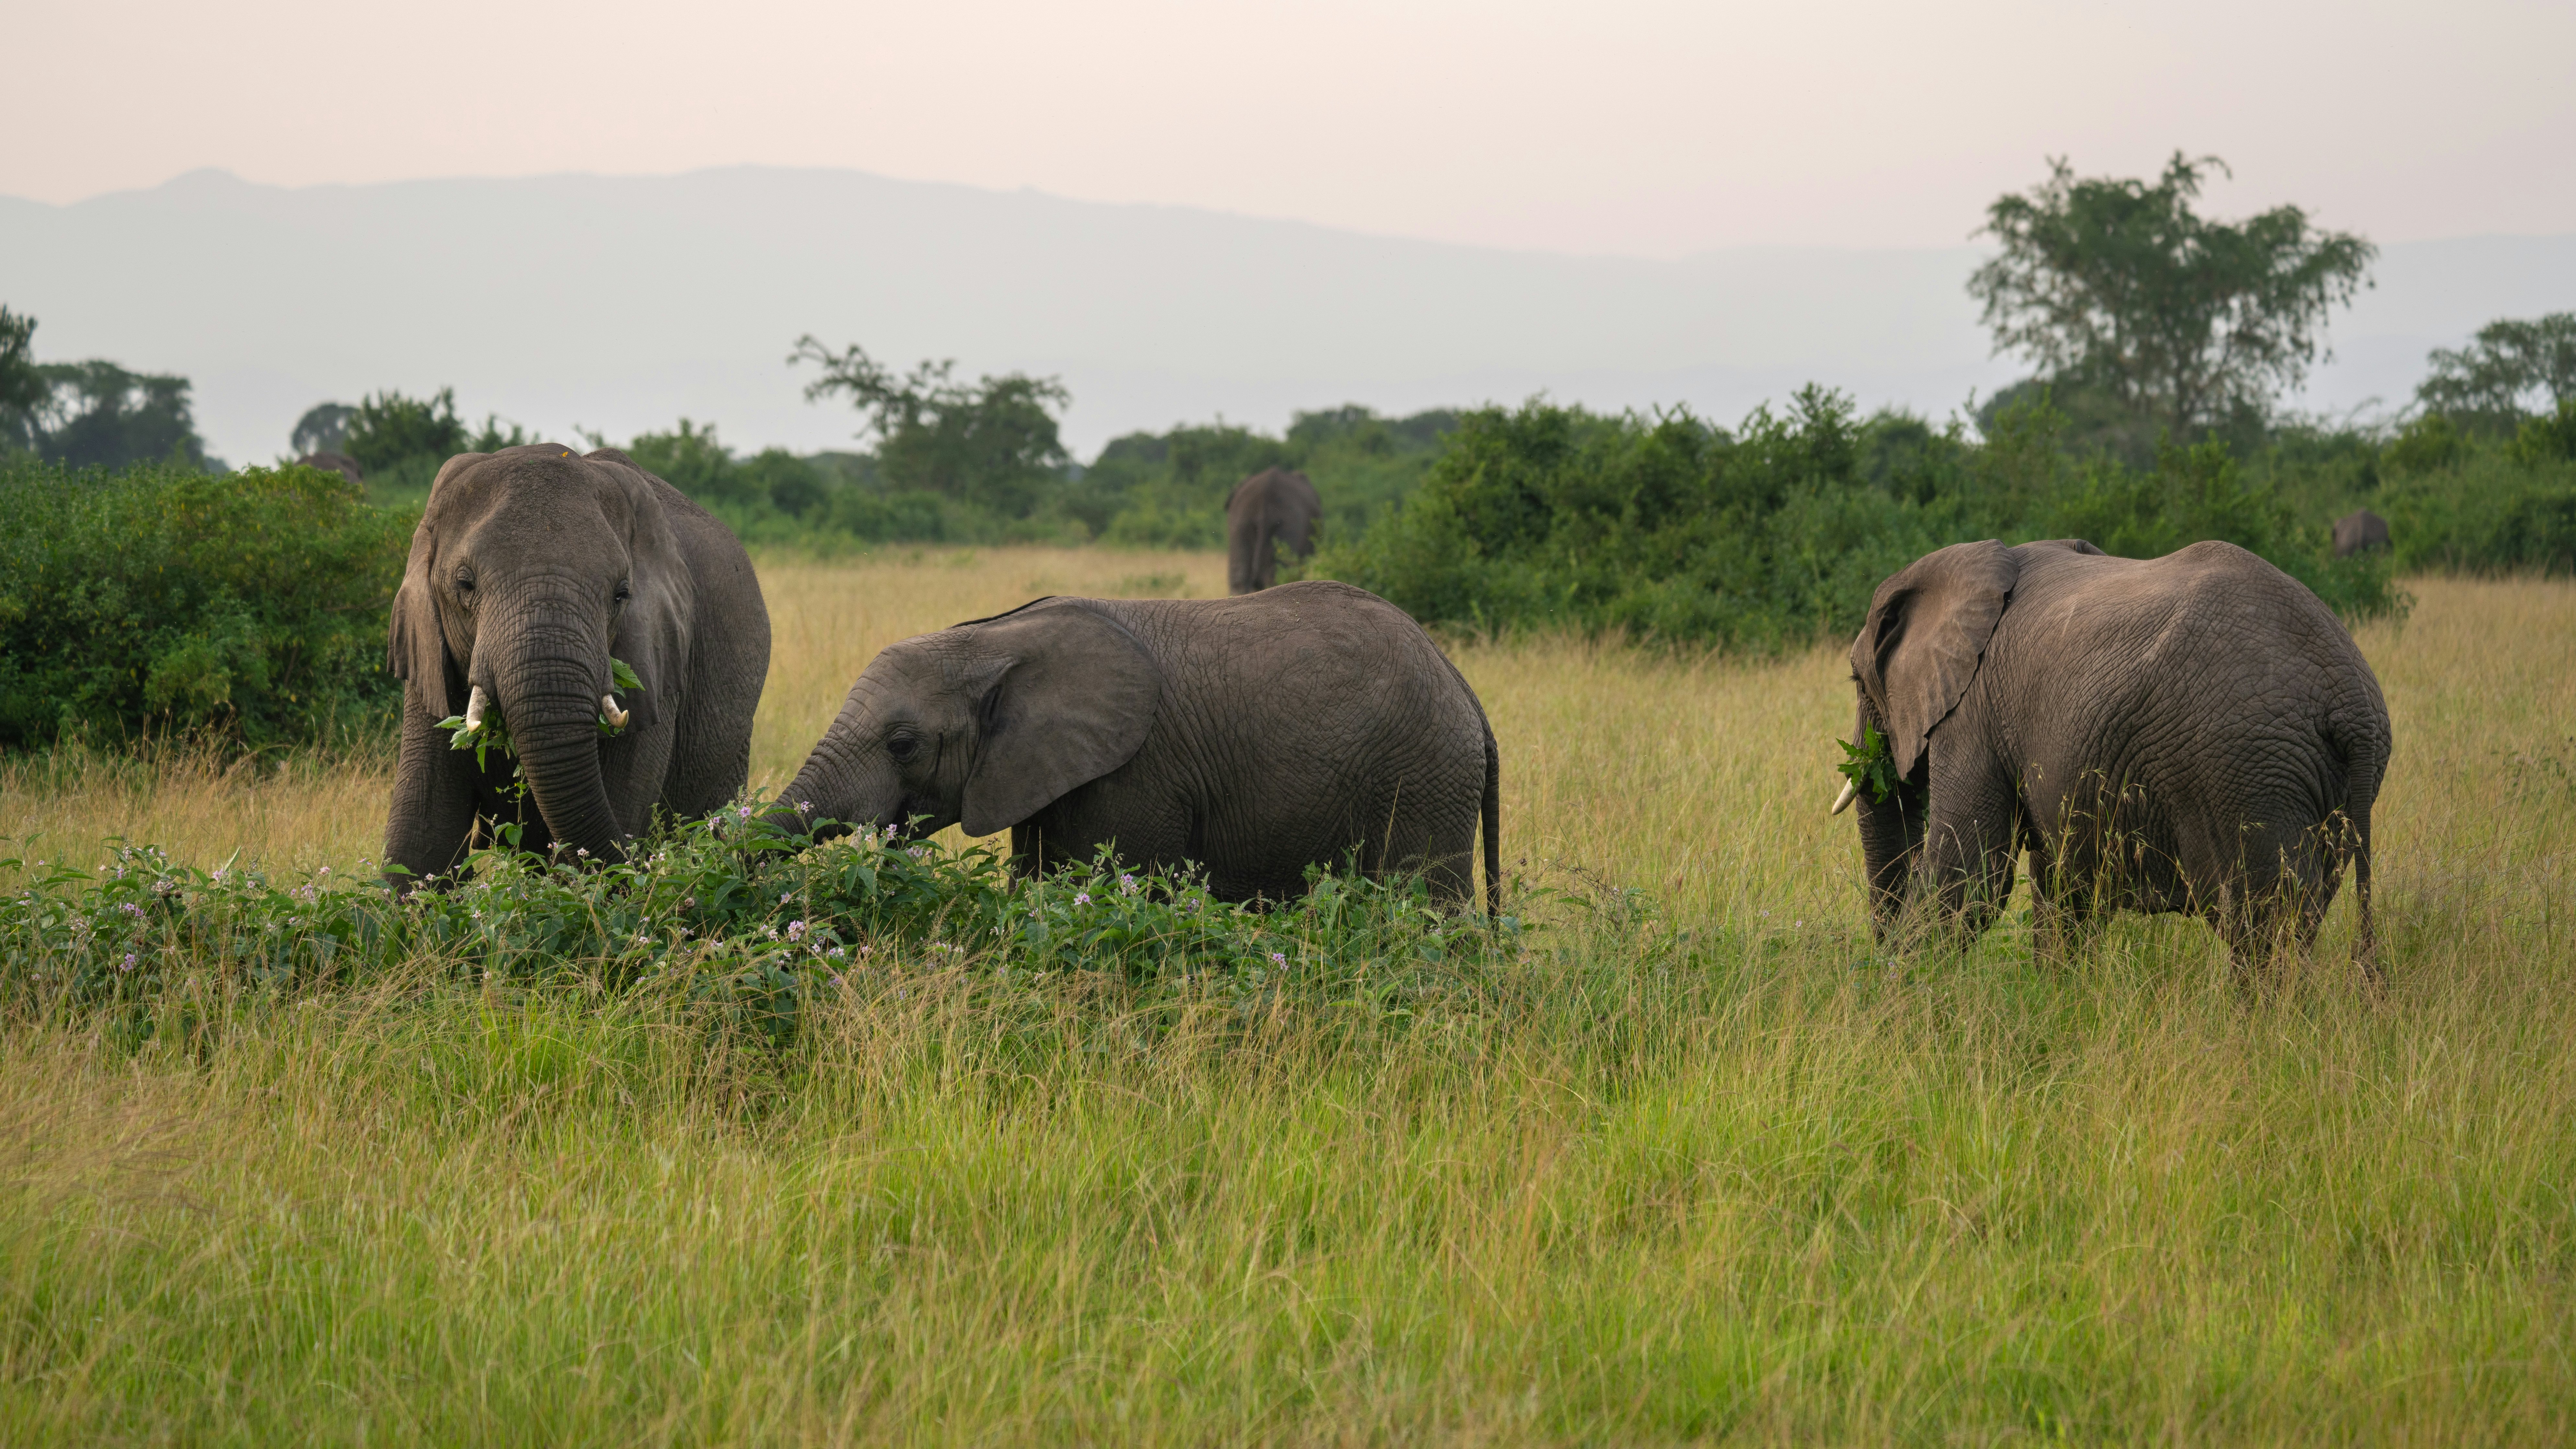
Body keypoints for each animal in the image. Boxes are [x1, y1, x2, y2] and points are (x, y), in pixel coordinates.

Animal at [1835, 538, 2391, 975]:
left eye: (1857, 681)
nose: (1880, 954)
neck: (1976, 560)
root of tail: (2350, 699)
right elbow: (2059, 884)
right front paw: (2056, 998)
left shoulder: (1974, 713)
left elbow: (1969, 876)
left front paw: (1896, 1001)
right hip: (2322, 785)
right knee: (2301, 911)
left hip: (2247, 769)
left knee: (2259, 921)